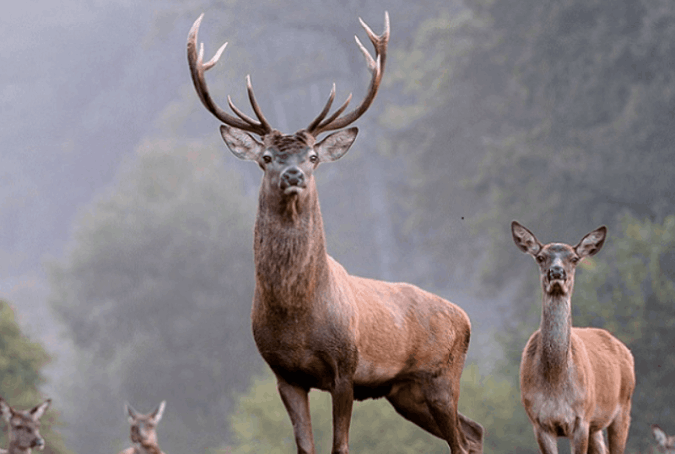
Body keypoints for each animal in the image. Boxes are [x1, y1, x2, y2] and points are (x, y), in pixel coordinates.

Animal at [187, 12, 484, 454]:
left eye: (312, 156)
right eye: (266, 157)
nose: (293, 175)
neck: (297, 317)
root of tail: (464, 318)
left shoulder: (346, 367)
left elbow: (339, 446)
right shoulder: (285, 374)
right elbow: (304, 446)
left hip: (441, 376)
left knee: (461, 441)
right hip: (406, 392)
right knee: (473, 431)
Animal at [511, 221, 635, 454]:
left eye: (575, 258)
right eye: (540, 257)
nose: (557, 272)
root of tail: (626, 350)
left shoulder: (581, 419)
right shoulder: (539, 422)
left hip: (623, 406)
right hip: (597, 425)